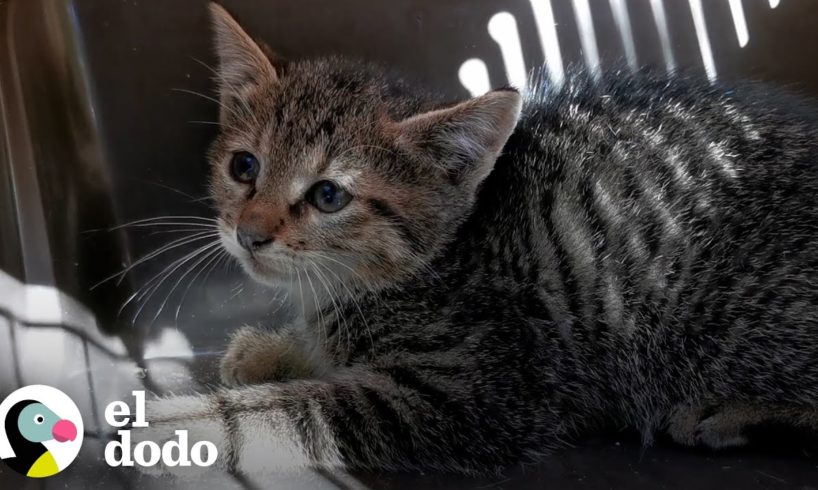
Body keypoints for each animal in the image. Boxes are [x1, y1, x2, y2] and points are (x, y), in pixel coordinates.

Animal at [137, 2, 816, 474]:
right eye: (244, 166)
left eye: (329, 196)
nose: (249, 235)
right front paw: (269, 351)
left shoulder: (481, 392)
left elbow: (294, 412)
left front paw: (169, 428)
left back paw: (727, 413)